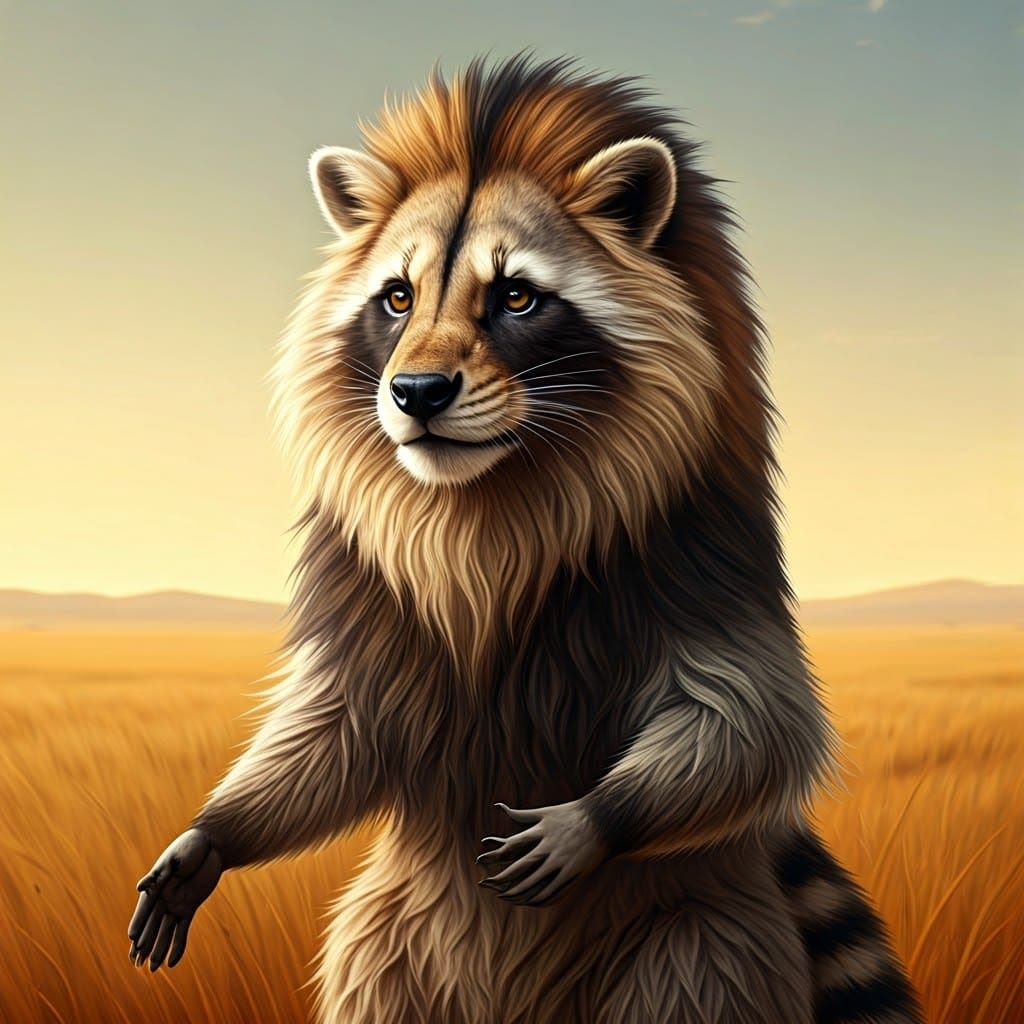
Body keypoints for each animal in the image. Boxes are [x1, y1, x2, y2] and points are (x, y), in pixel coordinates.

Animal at [127, 54, 923, 1024]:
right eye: (397, 298)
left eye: (515, 296)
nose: (417, 393)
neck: (486, 497)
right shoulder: (366, 598)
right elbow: (334, 733)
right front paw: (216, 831)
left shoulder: (703, 560)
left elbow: (754, 721)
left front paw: (595, 816)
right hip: (392, 948)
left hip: (699, 945)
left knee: (693, 974)